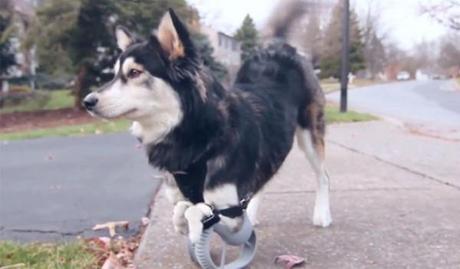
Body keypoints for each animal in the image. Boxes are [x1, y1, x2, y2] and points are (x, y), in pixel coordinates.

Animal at [83, 5, 330, 242]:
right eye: (114, 75)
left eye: (134, 72)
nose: (88, 101)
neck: (194, 135)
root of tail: (280, 47)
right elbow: (183, 208)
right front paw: (184, 222)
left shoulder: (231, 211)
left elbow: (197, 210)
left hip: (310, 135)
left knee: (323, 176)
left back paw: (322, 214)